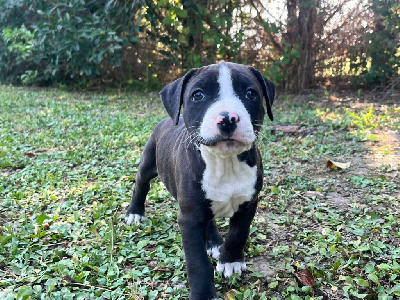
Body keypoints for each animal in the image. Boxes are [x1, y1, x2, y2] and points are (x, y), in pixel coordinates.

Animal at [126, 62, 276, 298]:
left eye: (251, 93)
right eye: (198, 95)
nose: (227, 118)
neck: (225, 162)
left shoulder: (248, 204)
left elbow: (238, 234)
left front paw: (230, 261)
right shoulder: (189, 218)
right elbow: (197, 262)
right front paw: (204, 293)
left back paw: (213, 242)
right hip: (149, 161)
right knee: (141, 184)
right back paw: (135, 212)